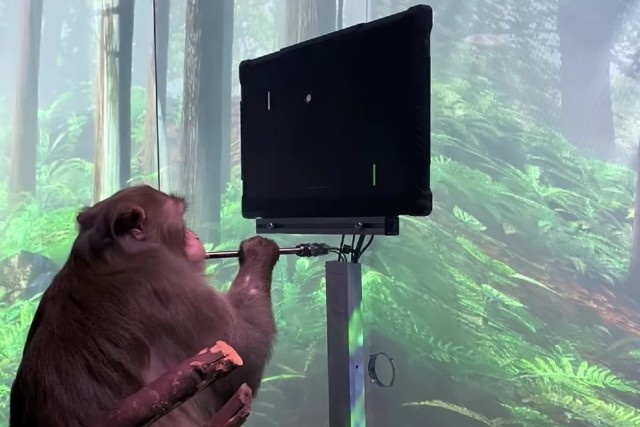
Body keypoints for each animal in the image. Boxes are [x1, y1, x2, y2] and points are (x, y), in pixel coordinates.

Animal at [9, 184, 280, 427]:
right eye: (181, 219)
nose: (194, 235)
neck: (113, 254)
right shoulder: (173, 284)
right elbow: (244, 354)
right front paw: (258, 252)